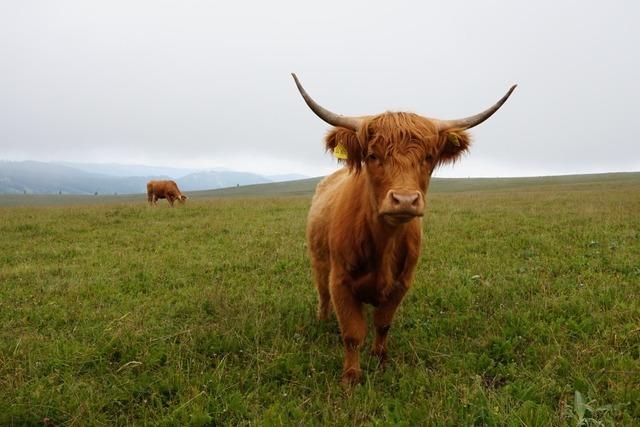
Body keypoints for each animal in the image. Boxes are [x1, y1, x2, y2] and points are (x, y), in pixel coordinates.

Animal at [292, 72, 516, 384]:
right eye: (372, 156)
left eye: (428, 157)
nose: (405, 200)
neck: (383, 243)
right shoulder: (341, 281)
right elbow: (352, 333)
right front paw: (351, 378)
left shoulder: (402, 283)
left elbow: (383, 324)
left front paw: (380, 360)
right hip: (319, 261)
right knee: (322, 294)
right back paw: (322, 320)